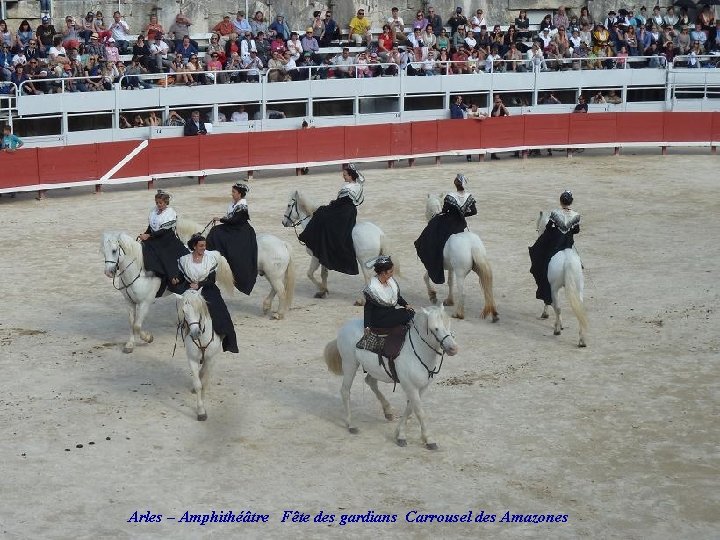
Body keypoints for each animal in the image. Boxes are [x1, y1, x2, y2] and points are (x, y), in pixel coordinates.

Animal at [324, 306, 458, 450]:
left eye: (448, 324)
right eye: (435, 328)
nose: (453, 349)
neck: (417, 349)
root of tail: (345, 327)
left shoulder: (422, 387)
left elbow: (410, 408)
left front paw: (399, 433)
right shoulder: (410, 386)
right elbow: (419, 411)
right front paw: (427, 439)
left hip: (373, 368)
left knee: (370, 382)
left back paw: (387, 411)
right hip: (350, 365)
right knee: (345, 391)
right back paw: (351, 425)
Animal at [536, 211, 588, 346]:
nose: (538, 231)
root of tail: (567, 260)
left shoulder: (549, 286)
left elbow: (549, 302)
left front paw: (547, 315)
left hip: (554, 288)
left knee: (558, 307)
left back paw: (557, 330)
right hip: (579, 287)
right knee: (579, 309)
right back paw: (582, 340)